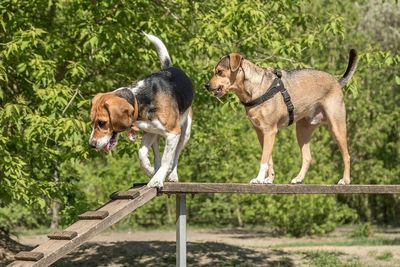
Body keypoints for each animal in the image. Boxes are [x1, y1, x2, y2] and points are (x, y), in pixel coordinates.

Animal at [205, 49, 358, 184]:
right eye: (213, 72)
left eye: (220, 71)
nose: (206, 85)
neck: (256, 88)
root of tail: (337, 82)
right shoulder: (261, 133)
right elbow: (269, 159)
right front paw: (269, 179)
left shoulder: (270, 131)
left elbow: (264, 160)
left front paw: (259, 179)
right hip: (302, 131)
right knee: (308, 157)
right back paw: (298, 178)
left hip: (337, 127)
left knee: (347, 156)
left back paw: (345, 180)